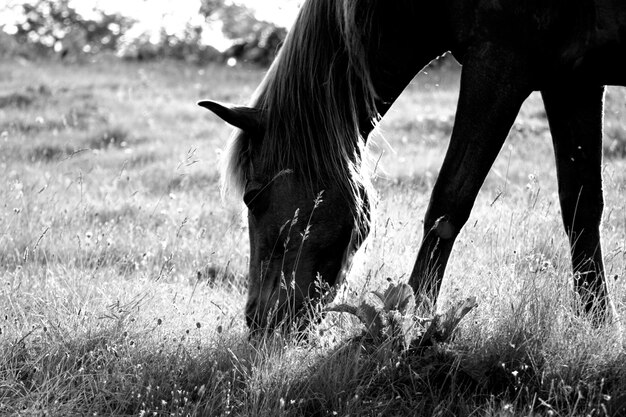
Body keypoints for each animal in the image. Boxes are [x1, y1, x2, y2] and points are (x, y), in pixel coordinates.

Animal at [200, 0, 620, 332]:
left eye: (253, 197)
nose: (257, 321)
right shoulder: (573, 81)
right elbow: (581, 205)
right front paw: (598, 321)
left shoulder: (500, 60)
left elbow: (449, 202)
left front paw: (410, 325)